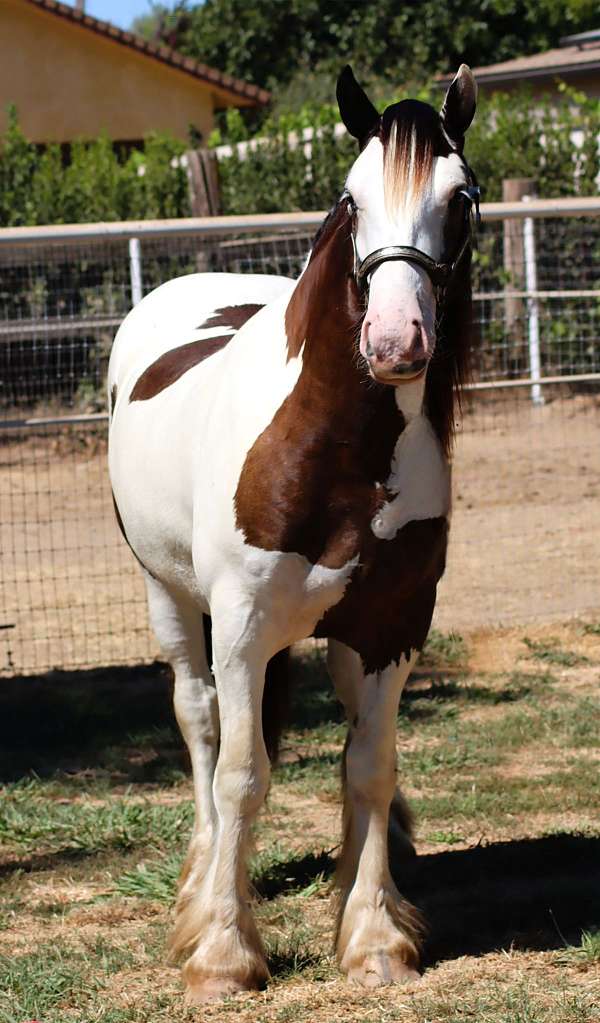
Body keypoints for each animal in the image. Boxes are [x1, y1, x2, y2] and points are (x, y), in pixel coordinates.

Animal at [108, 64, 479, 1003]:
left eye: (461, 197)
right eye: (351, 196)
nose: (394, 341)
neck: (338, 449)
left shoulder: (391, 627)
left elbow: (370, 766)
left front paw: (374, 934)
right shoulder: (240, 628)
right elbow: (241, 774)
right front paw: (223, 951)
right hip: (170, 600)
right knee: (201, 722)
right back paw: (201, 878)